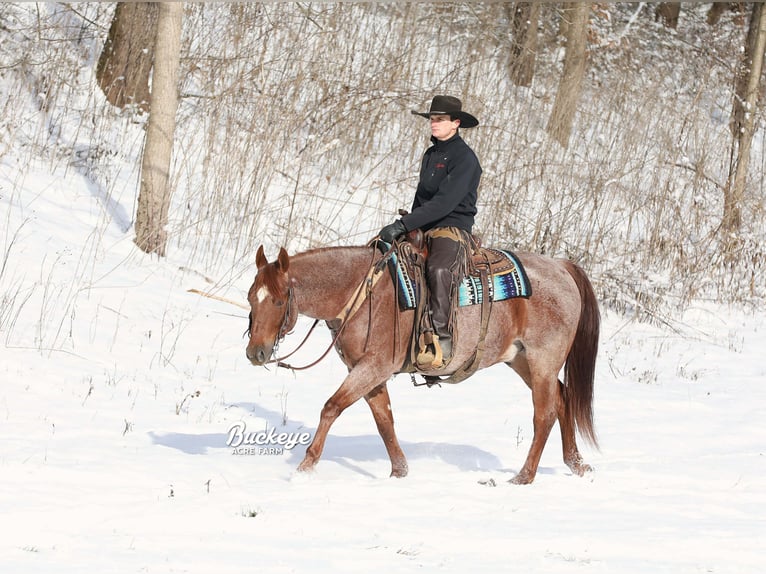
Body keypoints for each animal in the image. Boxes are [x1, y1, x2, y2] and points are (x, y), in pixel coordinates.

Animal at [246, 244, 600, 486]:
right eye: (252, 298)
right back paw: (576, 463)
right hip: (522, 360)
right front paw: (399, 472)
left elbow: (331, 408)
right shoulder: (369, 372)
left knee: (545, 414)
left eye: (278, 300)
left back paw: (523, 477)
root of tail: (561, 267)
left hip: (542, 361)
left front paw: (304, 469)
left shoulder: (373, 367)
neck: (362, 293)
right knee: (563, 398)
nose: (255, 353)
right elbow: (384, 420)